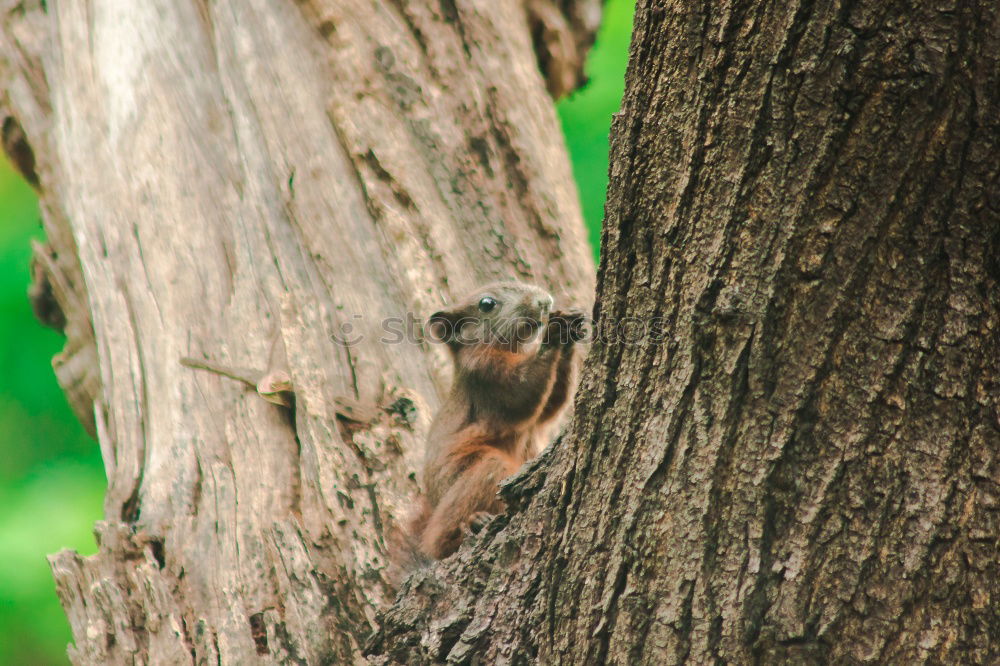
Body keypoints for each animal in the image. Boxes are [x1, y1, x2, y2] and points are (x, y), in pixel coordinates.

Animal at [402, 280, 584, 560]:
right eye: (487, 304)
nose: (544, 301)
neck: (513, 349)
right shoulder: (486, 374)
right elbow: (522, 394)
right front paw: (553, 333)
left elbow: (551, 407)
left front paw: (570, 324)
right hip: (481, 471)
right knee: (439, 540)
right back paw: (474, 523)